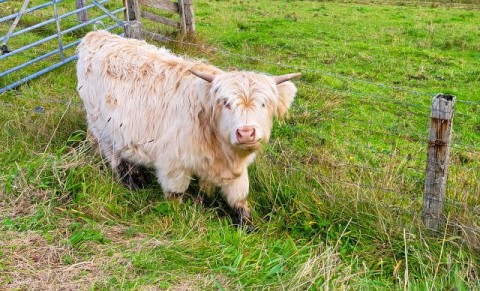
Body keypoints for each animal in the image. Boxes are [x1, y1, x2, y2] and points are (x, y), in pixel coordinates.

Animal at [76, 30, 300, 226]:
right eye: (226, 103)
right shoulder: (173, 163)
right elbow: (175, 193)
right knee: (114, 157)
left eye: (263, 103)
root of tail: (98, 35)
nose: (246, 133)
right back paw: (131, 182)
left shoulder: (233, 170)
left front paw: (246, 224)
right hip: (101, 127)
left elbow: (238, 197)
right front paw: (176, 215)